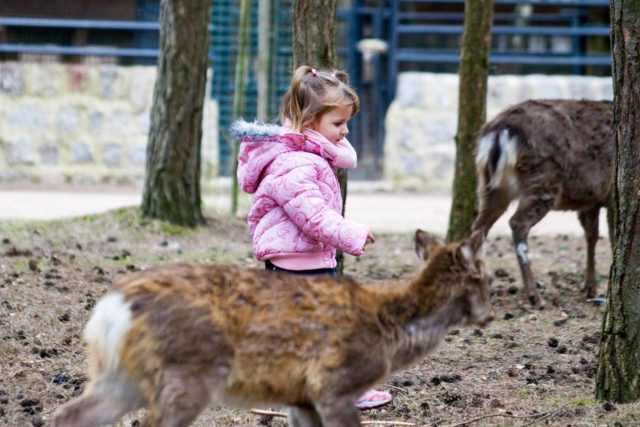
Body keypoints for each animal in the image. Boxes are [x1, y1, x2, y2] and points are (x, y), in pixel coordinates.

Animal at [52, 232, 492, 427]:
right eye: (485, 279)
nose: (489, 316)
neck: (389, 333)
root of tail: (110, 311)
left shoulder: (299, 396)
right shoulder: (333, 381)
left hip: (119, 376)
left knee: (67, 416)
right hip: (187, 373)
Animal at [470, 99, 616, 308]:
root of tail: (498, 132)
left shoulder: (591, 200)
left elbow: (592, 236)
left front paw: (590, 288)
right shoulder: (611, 193)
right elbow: (611, 236)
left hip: (489, 185)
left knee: (479, 227)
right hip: (543, 179)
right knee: (517, 223)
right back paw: (535, 296)